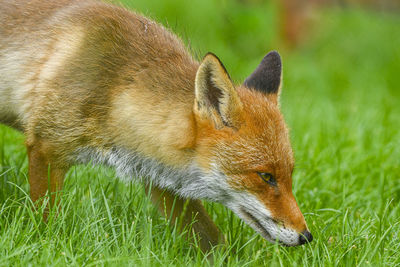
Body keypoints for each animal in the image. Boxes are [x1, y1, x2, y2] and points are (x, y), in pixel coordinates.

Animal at [0, 0, 312, 251]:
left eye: (289, 173)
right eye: (265, 176)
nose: (306, 236)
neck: (113, 90)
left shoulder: (159, 178)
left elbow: (213, 241)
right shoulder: (46, 146)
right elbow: (45, 221)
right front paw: (43, 241)